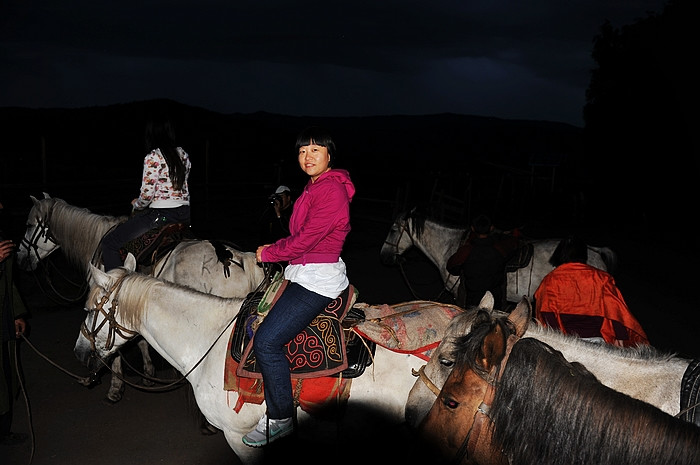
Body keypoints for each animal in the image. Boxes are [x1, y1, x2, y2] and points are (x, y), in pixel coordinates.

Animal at [17, 192, 266, 402]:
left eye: (28, 225)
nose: (21, 259)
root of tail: (240, 260)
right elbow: (141, 340)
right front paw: (148, 372)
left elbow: (113, 348)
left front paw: (115, 387)